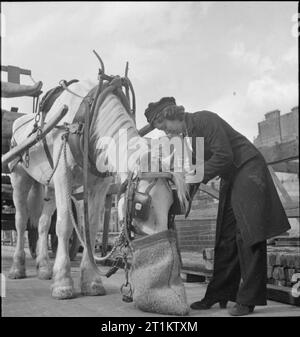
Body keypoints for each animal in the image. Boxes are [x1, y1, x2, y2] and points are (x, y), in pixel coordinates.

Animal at [8, 79, 189, 302]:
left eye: (173, 206)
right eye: (141, 206)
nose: (162, 260)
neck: (87, 115)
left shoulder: (99, 185)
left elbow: (91, 228)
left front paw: (91, 281)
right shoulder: (62, 174)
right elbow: (64, 225)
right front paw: (63, 283)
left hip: (48, 186)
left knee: (42, 223)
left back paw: (43, 268)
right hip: (19, 177)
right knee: (21, 220)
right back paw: (17, 267)